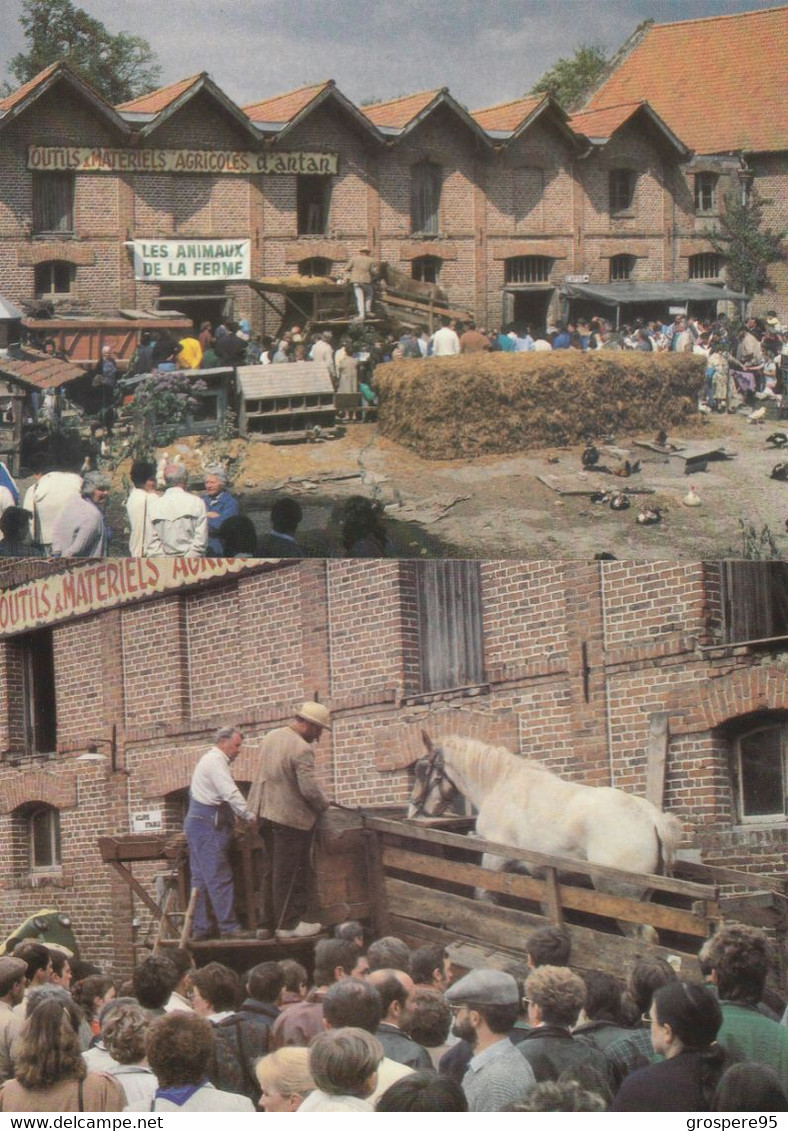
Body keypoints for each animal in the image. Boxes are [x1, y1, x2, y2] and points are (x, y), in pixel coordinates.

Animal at [404, 732, 682, 936]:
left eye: (423, 769)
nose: (413, 809)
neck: (501, 785)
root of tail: (651, 817)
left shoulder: (495, 858)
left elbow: (484, 897)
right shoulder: (541, 874)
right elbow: (549, 910)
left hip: (619, 897)